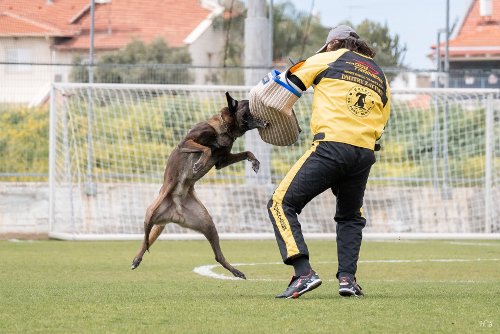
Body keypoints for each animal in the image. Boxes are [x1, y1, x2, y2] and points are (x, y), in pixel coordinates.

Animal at [131, 92, 268, 280]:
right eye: (249, 105)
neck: (224, 128)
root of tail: (175, 210)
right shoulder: (186, 142)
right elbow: (207, 149)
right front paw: (200, 162)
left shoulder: (222, 161)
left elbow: (246, 151)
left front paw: (254, 161)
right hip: (151, 212)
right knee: (145, 238)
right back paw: (137, 257)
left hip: (208, 224)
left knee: (218, 256)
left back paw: (236, 271)